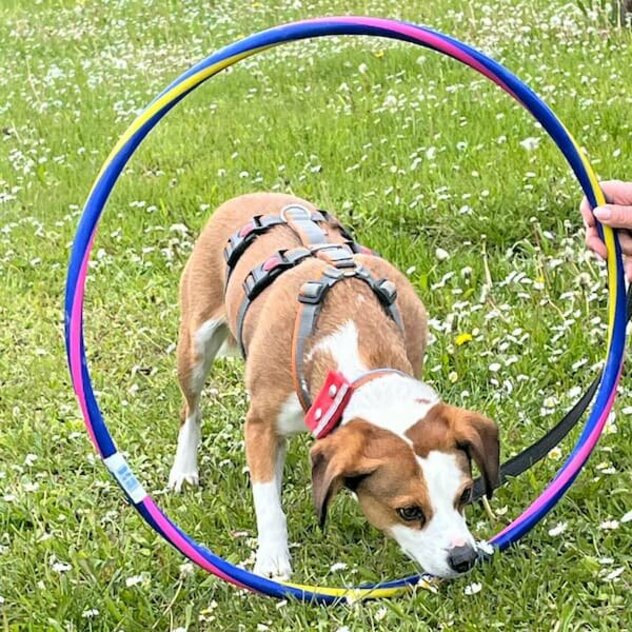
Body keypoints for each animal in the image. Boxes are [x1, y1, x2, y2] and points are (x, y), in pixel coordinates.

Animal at [168, 194, 498, 584]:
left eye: (465, 494)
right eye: (409, 511)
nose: (464, 558)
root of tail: (245, 197)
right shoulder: (261, 425)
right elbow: (267, 501)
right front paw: (273, 559)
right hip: (195, 345)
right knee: (191, 409)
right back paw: (184, 469)